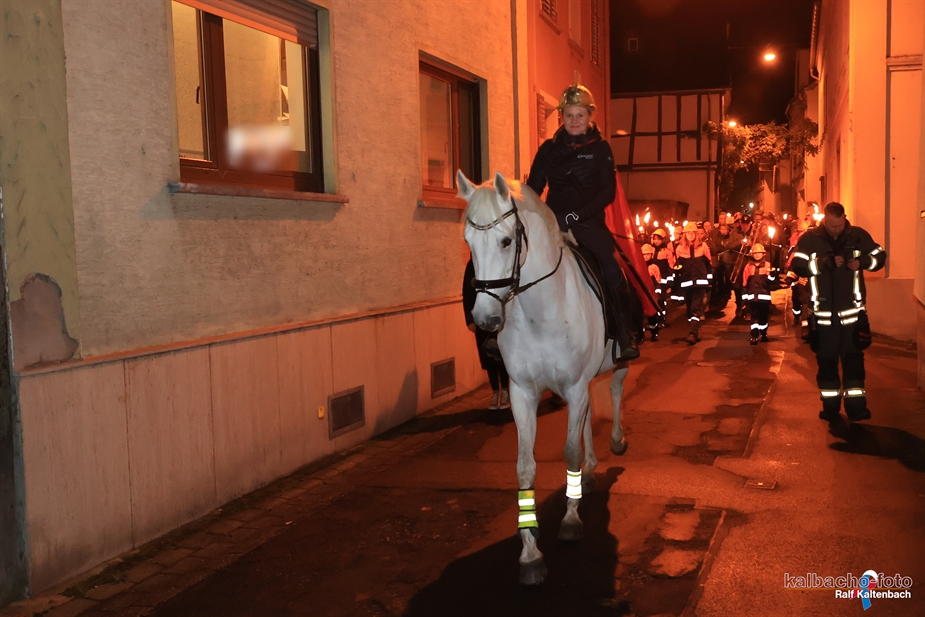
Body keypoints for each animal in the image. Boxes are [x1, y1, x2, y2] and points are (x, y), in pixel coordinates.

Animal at [458, 170, 630, 585]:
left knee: (616, 391)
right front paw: (530, 554)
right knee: (588, 413)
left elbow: (569, 450)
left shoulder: (574, 384)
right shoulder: (523, 393)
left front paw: (570, 521)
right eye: (468, 242)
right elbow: (525, 466)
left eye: (506, 240)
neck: (540, 311)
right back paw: (590, 471)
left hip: (616, 363)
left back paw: (615, 443)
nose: (485, 319)